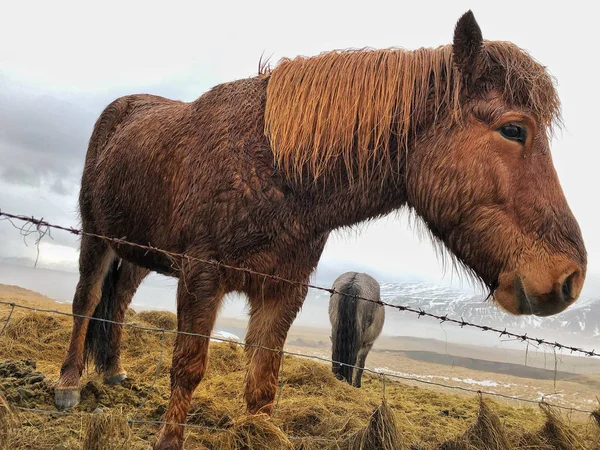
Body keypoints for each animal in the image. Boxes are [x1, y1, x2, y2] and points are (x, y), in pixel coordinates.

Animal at [54, 10, 584, 450]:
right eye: (514, 129)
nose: (570, 279)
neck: (275, 167)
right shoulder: (202, 277)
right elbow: (187, 368)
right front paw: (168, 440)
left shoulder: (284, 290)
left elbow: (263, 382)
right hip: (97, 237)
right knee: (87, 301)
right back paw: (68, 385)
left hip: (137, 251)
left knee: (119, 299)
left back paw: (113, 371)